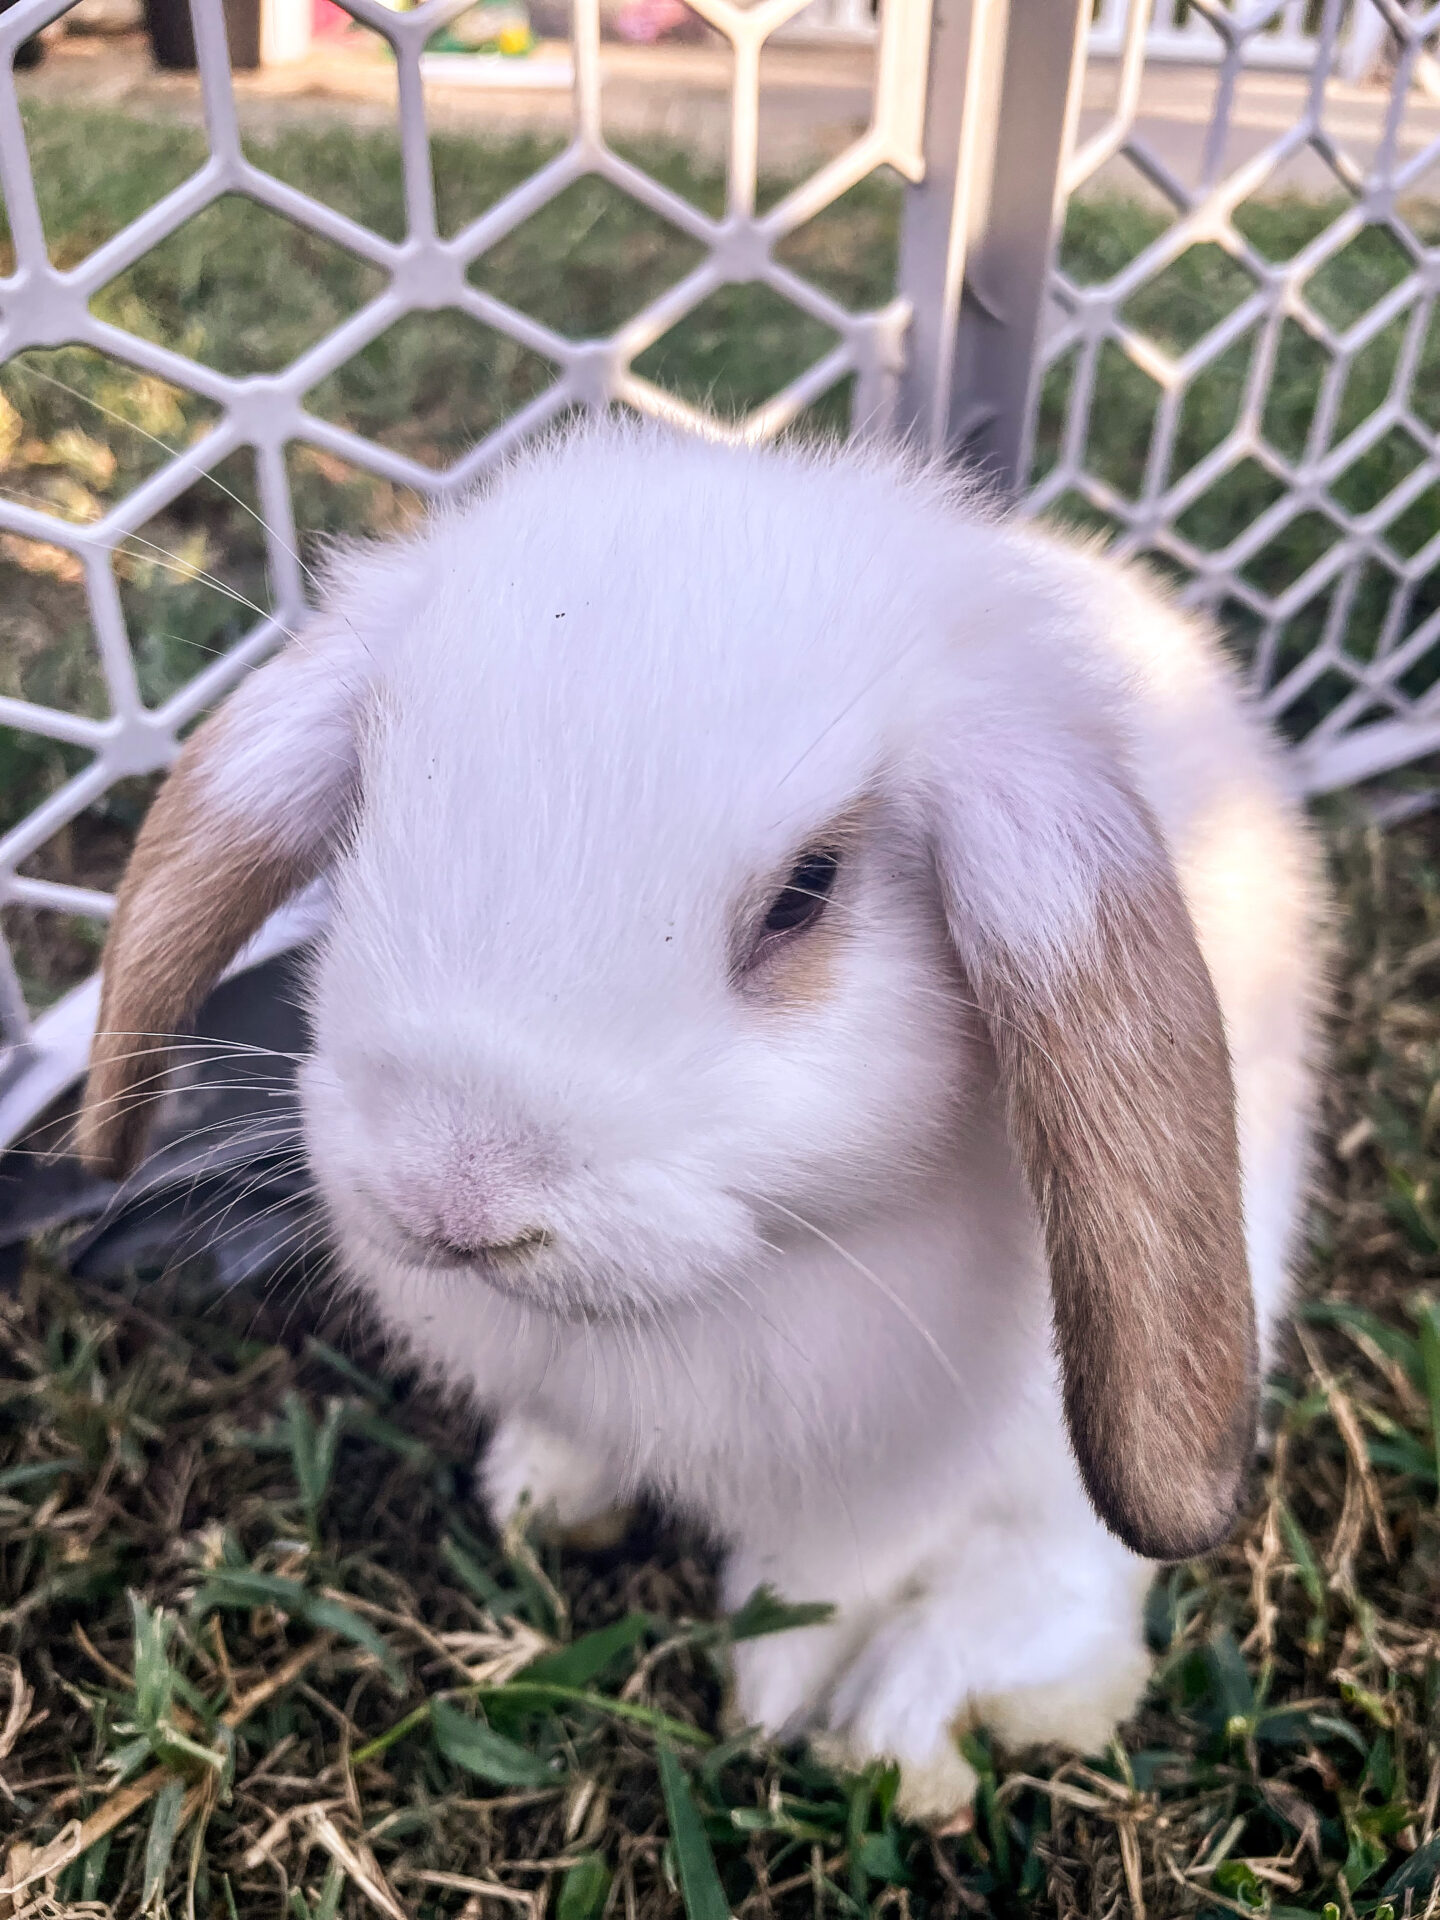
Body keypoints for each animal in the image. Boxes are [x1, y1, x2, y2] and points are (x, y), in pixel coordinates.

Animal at [76, 417, 1322, 1821]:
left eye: (805, 893)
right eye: (367, 813)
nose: (453, 1196)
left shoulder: (886, 1487)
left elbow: (829, 1575)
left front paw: (774, 1698)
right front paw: (537, 1498)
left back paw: (899, 1724)